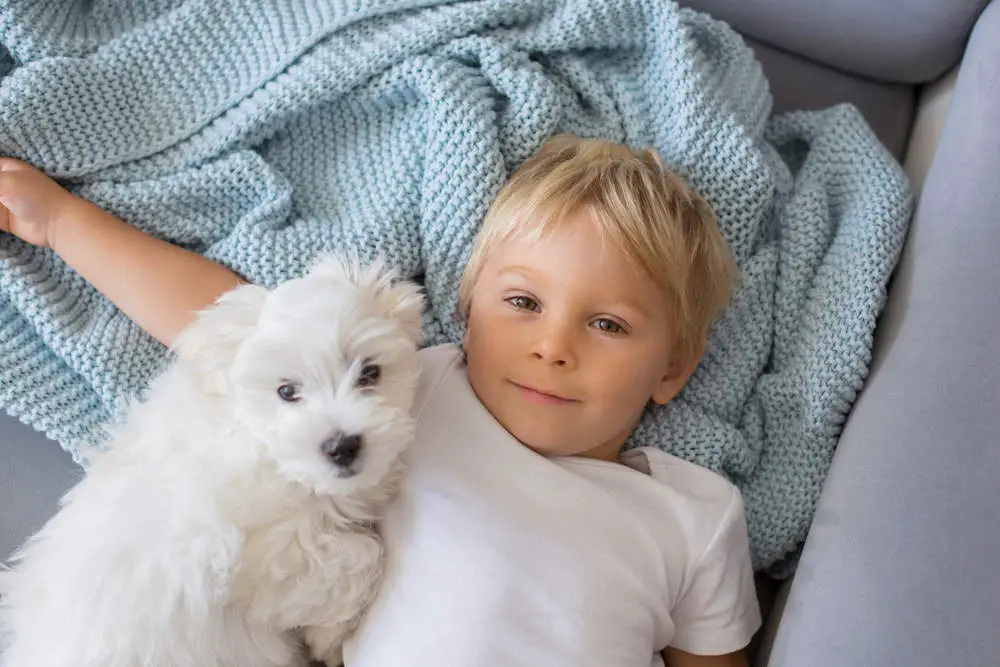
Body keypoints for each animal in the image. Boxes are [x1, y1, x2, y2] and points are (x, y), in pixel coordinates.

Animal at [0, 256, 426, 667]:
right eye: (286, 392)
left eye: (370, 373)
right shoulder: (266, 564)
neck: (261, 448)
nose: (342, 447)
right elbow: (361, 556)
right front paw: (331, 640)